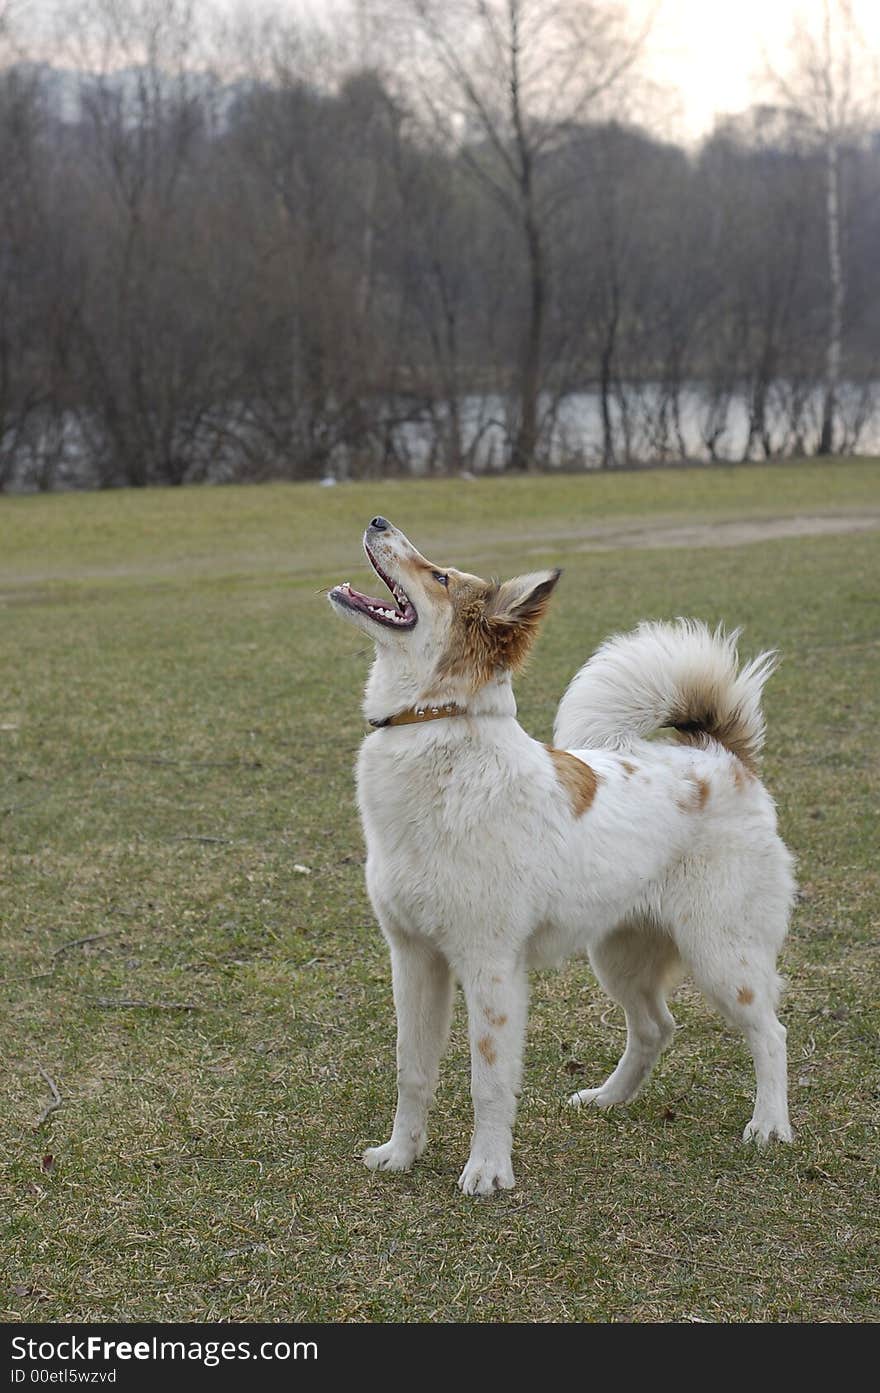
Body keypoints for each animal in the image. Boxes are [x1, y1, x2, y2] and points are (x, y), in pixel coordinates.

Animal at [327, 518, 796, 1192]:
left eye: (439, 576)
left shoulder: (491, 966)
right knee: (656, 1027)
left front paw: (488, 1169)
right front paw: (400, 1153)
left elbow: (488, 1080)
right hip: (619, 955)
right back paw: (607, 1098)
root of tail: (722, 757)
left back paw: (769, 1126)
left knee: (770, 1032)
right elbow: (411, 1070)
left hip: (721, 956)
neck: (438, 729)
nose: (378, 522)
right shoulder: (413, 958)